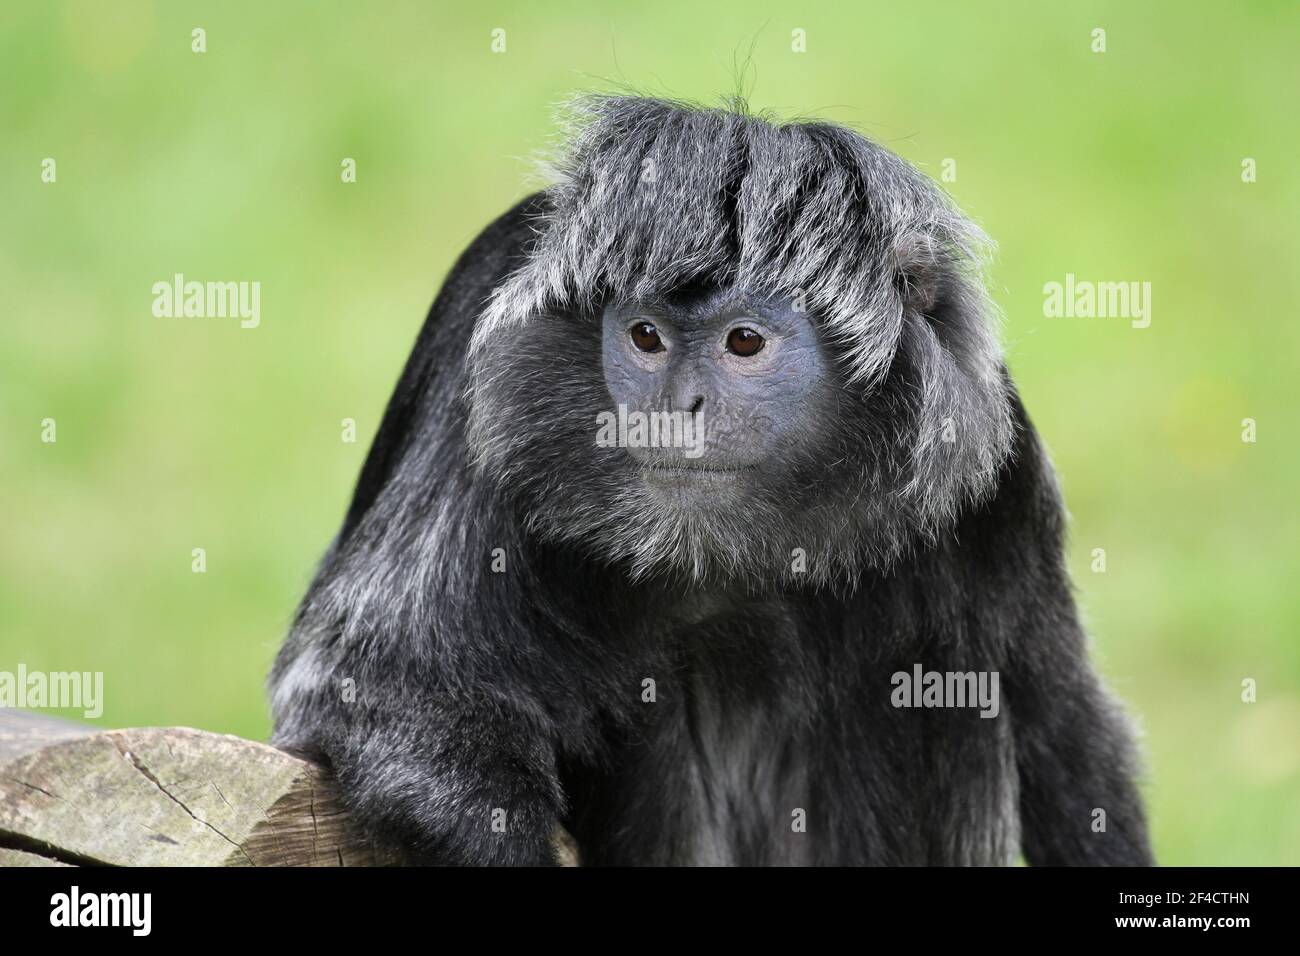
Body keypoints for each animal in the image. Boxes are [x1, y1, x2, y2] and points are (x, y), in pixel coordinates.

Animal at [269, 95, 1154, 868]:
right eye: (646, 337)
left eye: (744, 342)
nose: (678, 408)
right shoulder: (479, 392)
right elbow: (384, 691)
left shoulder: (995, 464)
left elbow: (1065, 730)